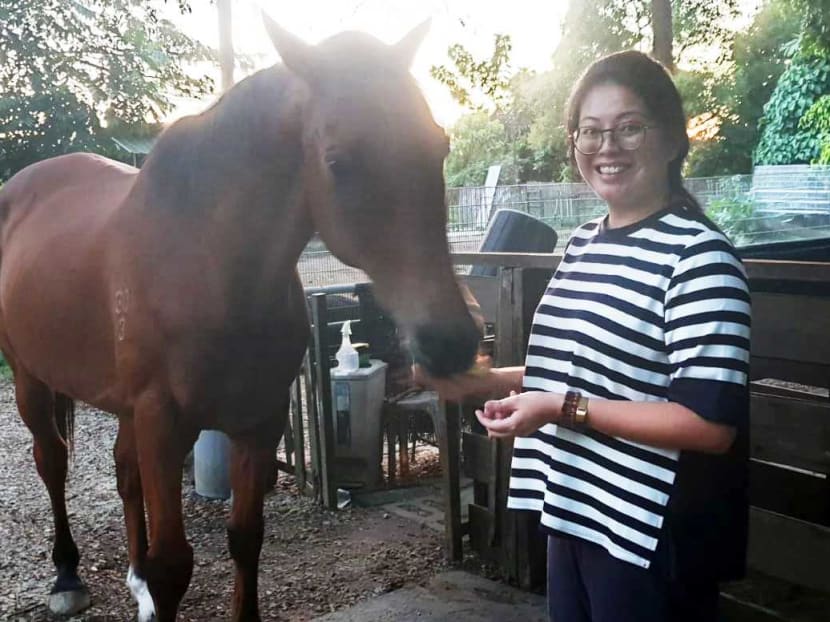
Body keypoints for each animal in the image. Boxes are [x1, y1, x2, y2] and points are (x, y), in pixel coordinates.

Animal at [0, 16, 480, 622]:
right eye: (338, 161)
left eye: (438, 145)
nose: (452, 340)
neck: (210, 264)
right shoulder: (163, 424)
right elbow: (173, 564)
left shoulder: (259, 421)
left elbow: (246, 537)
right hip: (31, 379)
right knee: (53, 461)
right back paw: (67, 575)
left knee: (124, 473)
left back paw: (135, 583)